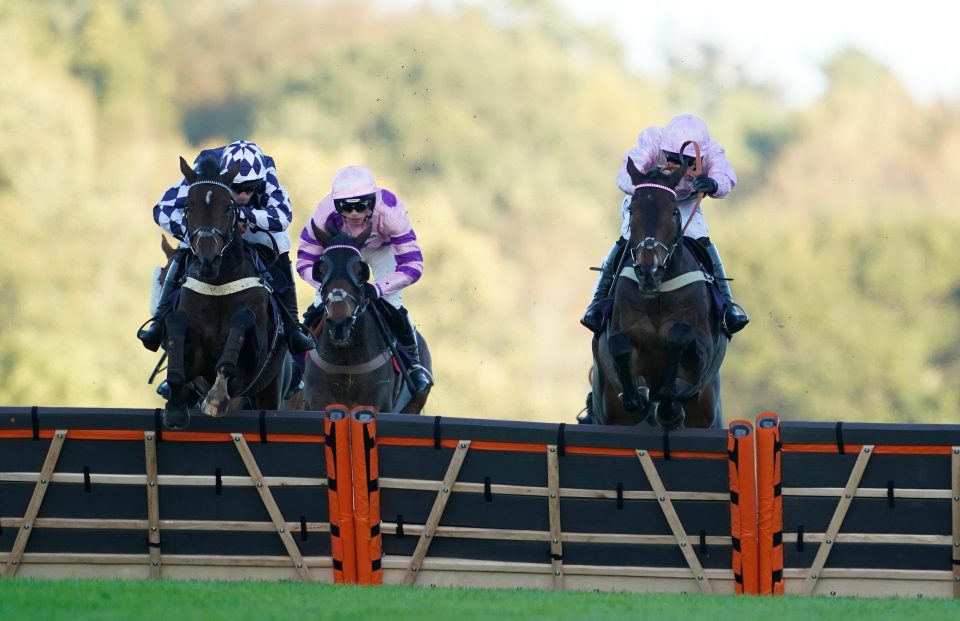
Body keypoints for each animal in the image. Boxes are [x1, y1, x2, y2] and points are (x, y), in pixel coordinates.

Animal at [161, 155, 292, 428]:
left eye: (228, 208)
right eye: (188, 207)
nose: (207, 259)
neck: (218, 284)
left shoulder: (253, 364)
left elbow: (241, 322)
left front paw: (216, 397)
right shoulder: (194, 365)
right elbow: (177, 325)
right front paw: (174, 408)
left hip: (268, 389)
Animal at [588, 153, 724, 428]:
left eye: (673, 211)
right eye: (632, 210)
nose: (648, 270)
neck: (657, 296)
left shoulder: (703, 351)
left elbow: (680, 336)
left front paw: (668, 399)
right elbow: (618, 344)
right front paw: (639, 395)